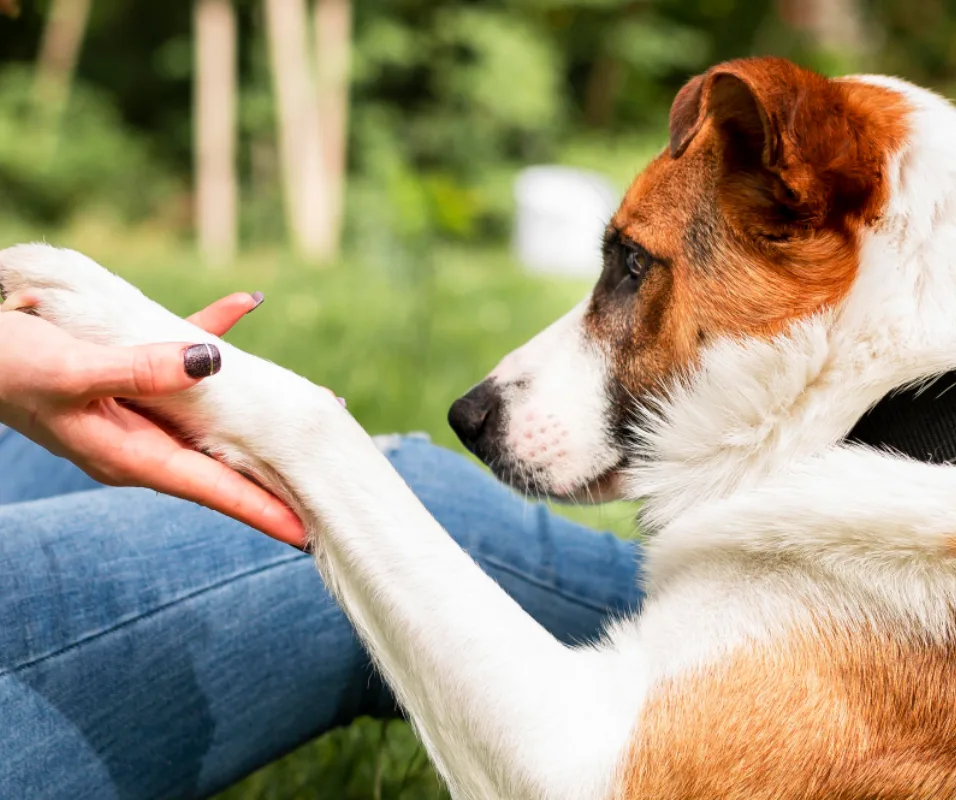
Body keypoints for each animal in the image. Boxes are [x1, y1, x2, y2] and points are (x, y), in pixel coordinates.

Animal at [1, 56, 956, 800]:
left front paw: (107, 307)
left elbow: (317, 419)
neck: (890, 401)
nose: (465, 419)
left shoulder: (580, 758)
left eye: (629, 262)